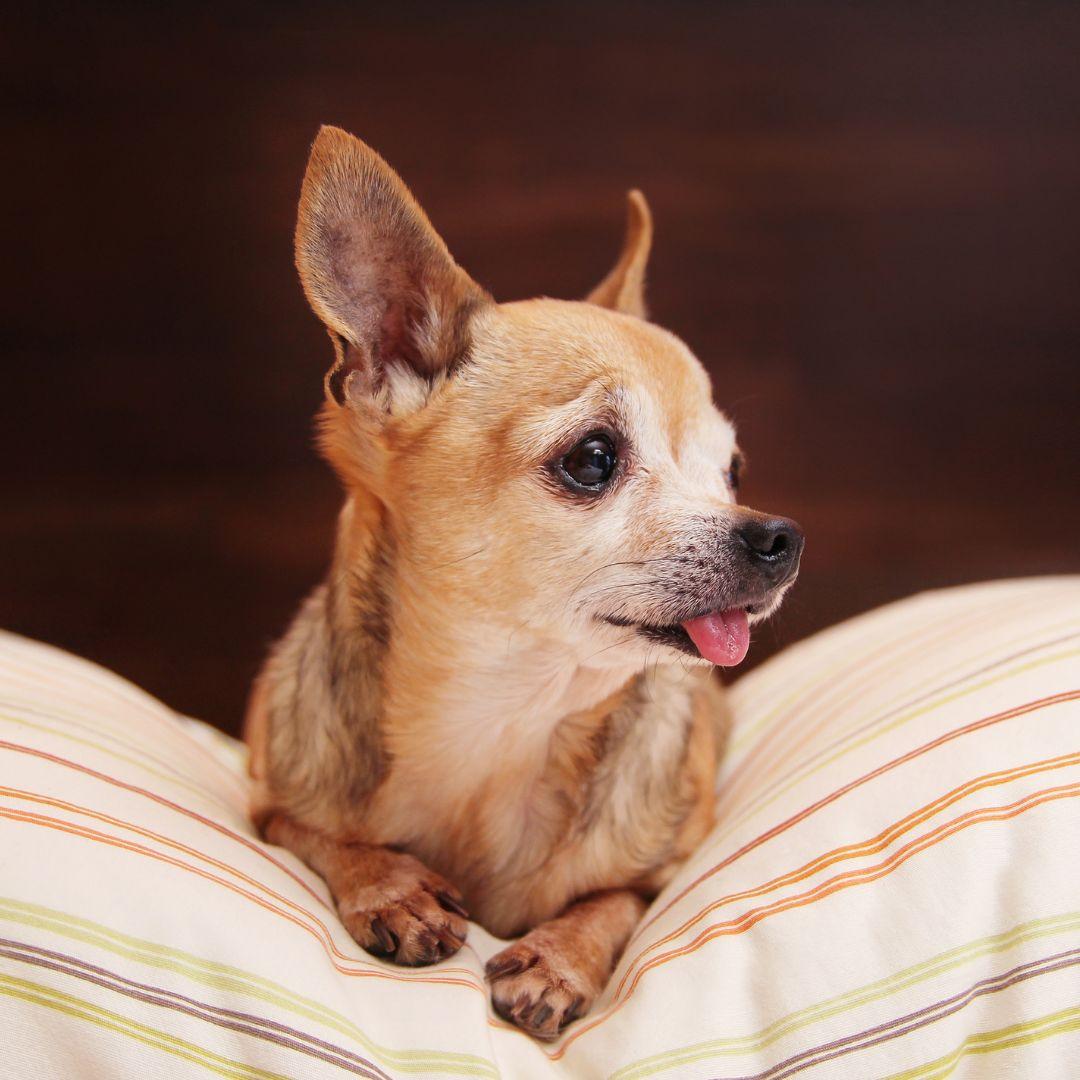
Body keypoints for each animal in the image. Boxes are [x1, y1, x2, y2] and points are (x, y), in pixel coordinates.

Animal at [245, 126, 803, 1036]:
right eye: (593, 459)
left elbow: (613, 900)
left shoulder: (664, 869)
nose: (779, 536)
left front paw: (557, 956)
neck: (507, 718)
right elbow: (326, 836)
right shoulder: (267, 807)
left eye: (733, 471)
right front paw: (391, 887)